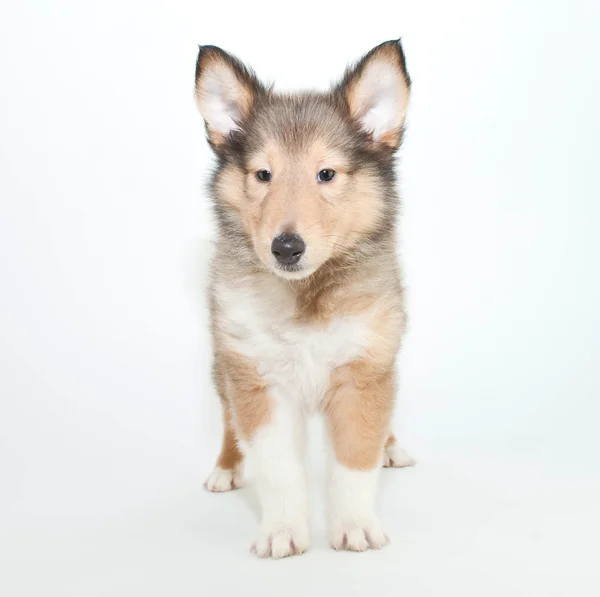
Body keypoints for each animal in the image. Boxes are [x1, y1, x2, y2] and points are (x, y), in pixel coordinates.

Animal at [195, 39, 414, 556]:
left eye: (326, 174)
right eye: (262, 174)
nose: (286, 247)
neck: (305, 293)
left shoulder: (364, 372)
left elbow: (355, 460)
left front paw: (355, 526)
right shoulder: (257, 380)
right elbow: (277, 469)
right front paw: (282, 532)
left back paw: (392, 446)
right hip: (222, 365)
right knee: (228, 420)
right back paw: (225, 468)